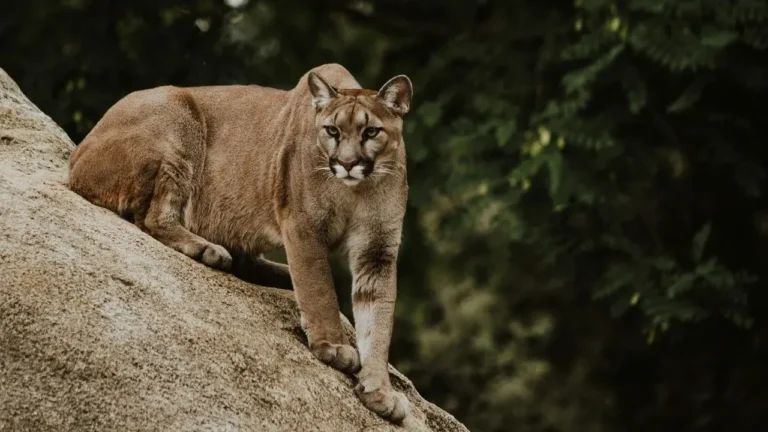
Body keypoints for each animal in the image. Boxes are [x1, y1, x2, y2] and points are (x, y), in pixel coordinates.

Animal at [67, 63, 413, 422]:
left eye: (371, 132)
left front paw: (380, 392)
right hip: (178, 121)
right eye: (331, 130)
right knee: (154, 218)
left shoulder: (377, 251)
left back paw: (275, 273)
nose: (346, 164)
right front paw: (334, 346)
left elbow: (378, 322)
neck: (355, 191)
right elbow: (319, 290)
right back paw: (208, 250)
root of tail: (75, 158)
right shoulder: (303, 226)